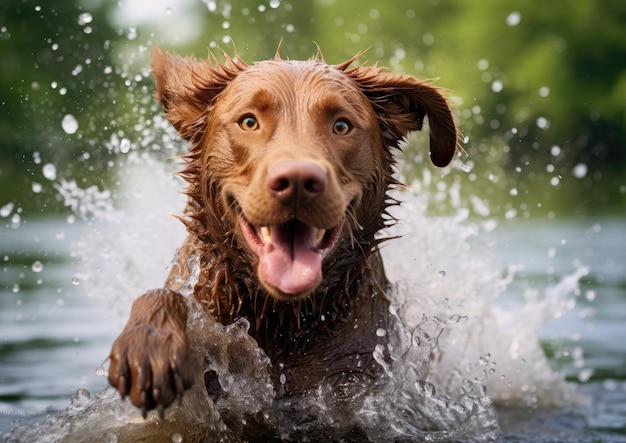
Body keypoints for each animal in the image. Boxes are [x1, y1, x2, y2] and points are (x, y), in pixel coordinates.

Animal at [105, 46, 450, 418]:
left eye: (341, 125)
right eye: (248, 121)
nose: (297, 181)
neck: (282, 318)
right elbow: (162, 295)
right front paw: (150, 347)